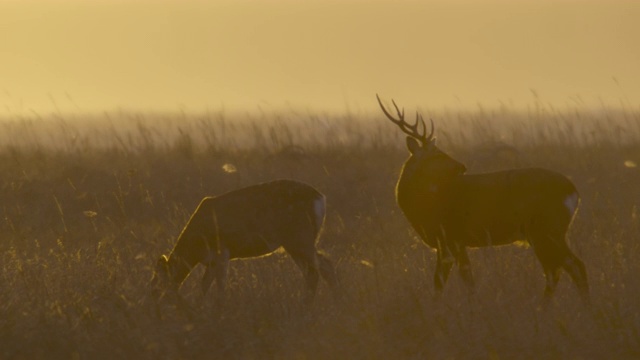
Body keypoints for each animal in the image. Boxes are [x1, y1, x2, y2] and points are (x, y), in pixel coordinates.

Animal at [152, 179, 338, 302]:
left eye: (159, 282)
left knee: (320, 269)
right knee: (316, 270)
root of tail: (321, 198)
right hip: (296, 242)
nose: (154, 301)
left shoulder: (222, 252)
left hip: (299, 238)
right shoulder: (211, 261)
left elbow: (220, 287)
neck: (195, 247)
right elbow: (204, 286)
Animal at [376, 95, 592, 300]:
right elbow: (445, 282)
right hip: (544, 233)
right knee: (556, 270)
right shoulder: (448, 244)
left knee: (573, 267)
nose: (462, 166)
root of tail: (573, 191)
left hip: (548, 229)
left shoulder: (452, 238)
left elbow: (460, 280)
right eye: (436, 155)